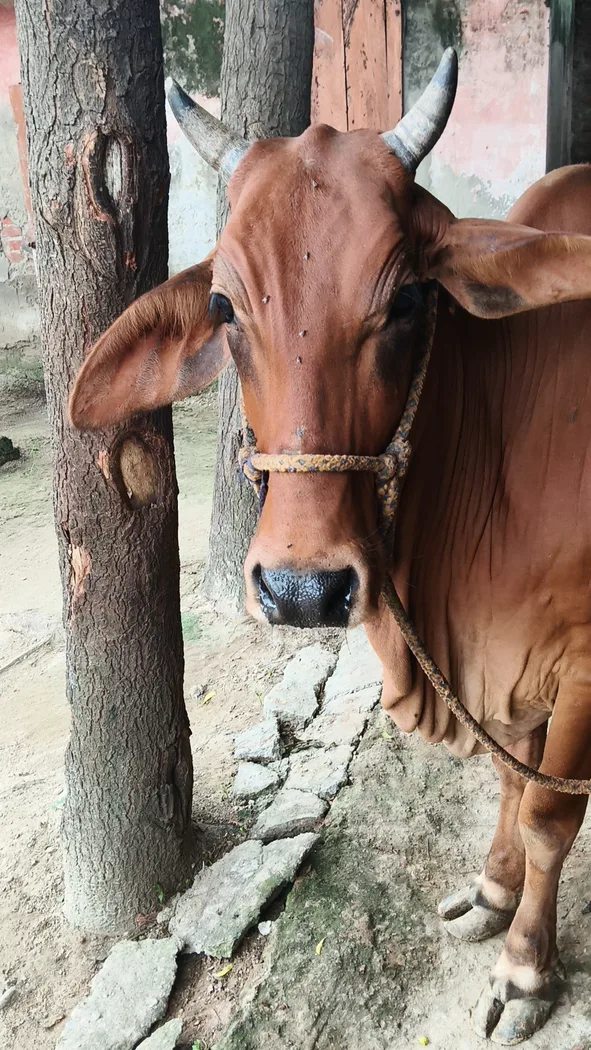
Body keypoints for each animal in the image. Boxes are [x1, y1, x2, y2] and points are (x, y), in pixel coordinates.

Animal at [69, 50, 591, 1044]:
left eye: (408, 298)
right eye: (224, 304)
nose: (301, 592)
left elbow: (548, 810)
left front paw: (524, 971)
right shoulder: (513, 667)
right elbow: (512, 783)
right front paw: (491, 894)